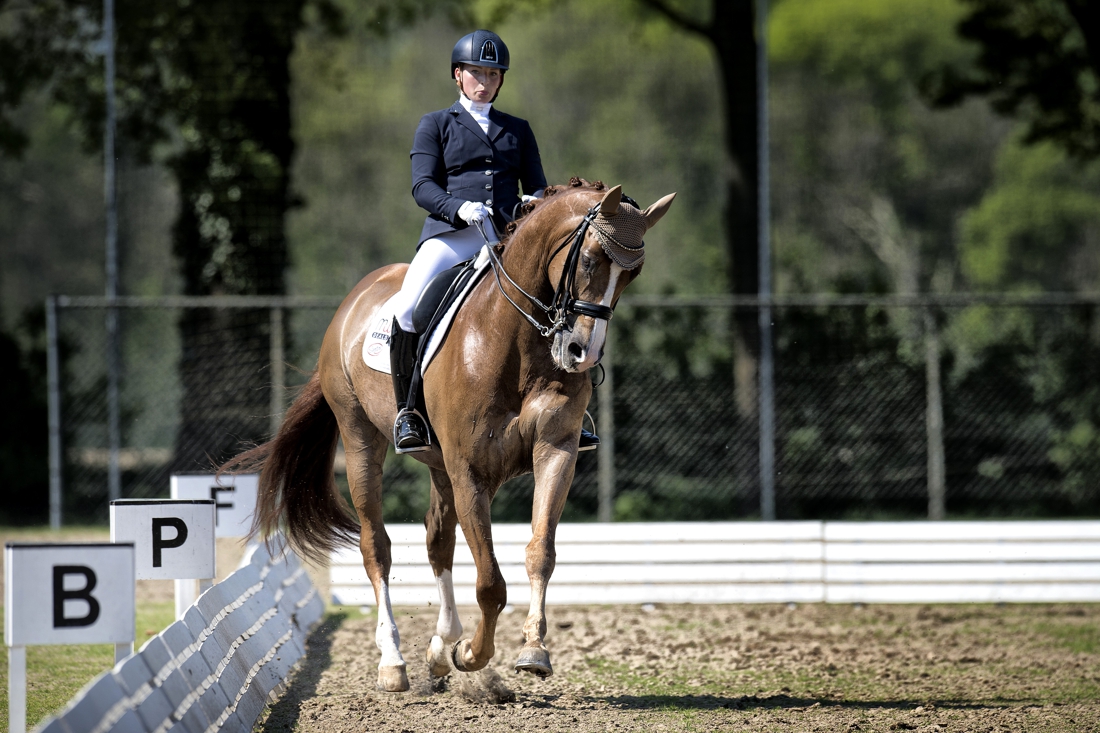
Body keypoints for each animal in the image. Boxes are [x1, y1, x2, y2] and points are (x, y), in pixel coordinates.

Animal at [225, 179, 675, 692]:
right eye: (588, 259)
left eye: (632, 274)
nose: (581, 353)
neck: (517, 340)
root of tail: (354, 300)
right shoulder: (470, 469)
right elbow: (490, 582)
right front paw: (472, 655)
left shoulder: (554, 451)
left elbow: (540, 552)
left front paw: (531, 651)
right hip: (361, 439)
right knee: (376, 546)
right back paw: (393, 662)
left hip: (440, 465)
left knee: (437, 538)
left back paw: (439, 648)